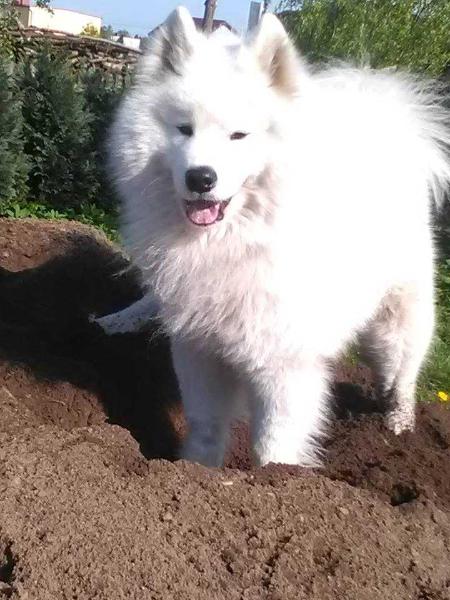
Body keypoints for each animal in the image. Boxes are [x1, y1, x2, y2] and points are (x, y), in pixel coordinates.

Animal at [94, 5, 446, 468]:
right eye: (184, 129)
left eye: (238, 135)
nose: (201, 178)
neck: (235, 241)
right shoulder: (198, 349)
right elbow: (206, 425)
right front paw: (196, 468)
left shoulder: (283, 363)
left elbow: (274, 441)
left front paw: (275, 476)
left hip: (395, 323)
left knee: (402, 374)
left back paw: (399, 424)